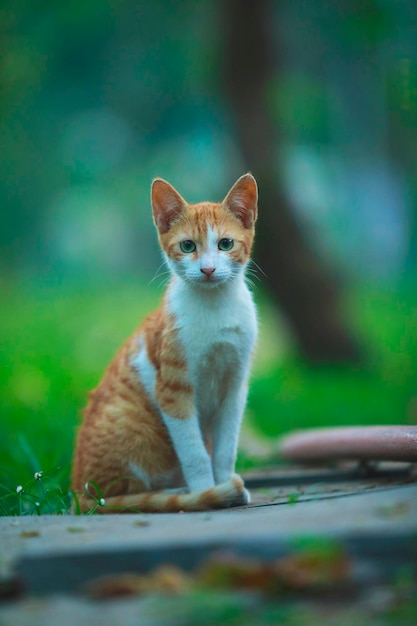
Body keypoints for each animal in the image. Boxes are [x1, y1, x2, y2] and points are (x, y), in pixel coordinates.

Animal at [71, 172, 256, 512]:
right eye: (187, 246)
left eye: (225, 244)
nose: (208, 269)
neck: (214, 309)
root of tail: (78, 494)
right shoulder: (172, 390)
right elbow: (195, 453)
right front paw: (206, 493)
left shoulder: (234, 387)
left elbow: (225, 449)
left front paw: (223, 484)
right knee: (126, 494)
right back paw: (180, 494)